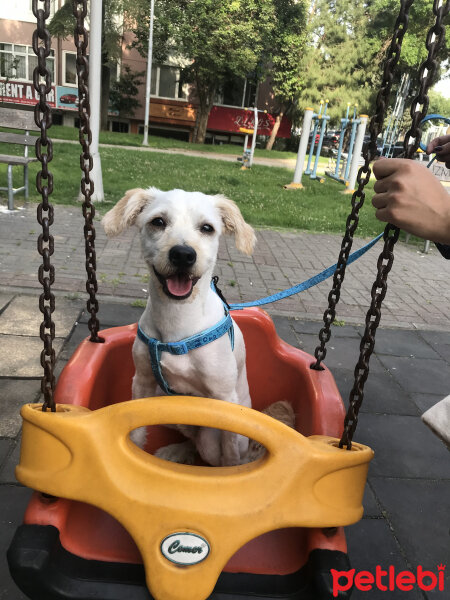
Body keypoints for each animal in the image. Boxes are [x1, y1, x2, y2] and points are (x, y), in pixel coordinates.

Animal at [102, 185, 256, 466]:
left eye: (207, 228)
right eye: (158, 222)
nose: (183, 255)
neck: (177, 321)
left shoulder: (225, 401)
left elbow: (229, 456)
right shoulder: (141, 382)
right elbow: (136, 433)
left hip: (211, 437)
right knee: (190, 440)